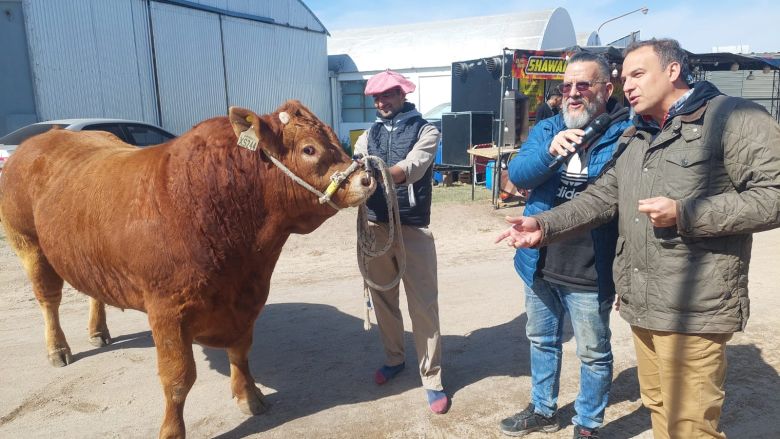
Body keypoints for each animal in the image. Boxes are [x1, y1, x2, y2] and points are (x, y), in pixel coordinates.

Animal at [0, 101, 374, 438]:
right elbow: (178, 379)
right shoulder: (168, 310)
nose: (367, 179)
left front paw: (250, 396)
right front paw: (171, 430)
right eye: (309, 149)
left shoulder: (248, 298)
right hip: (29, 244)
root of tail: (45, 136)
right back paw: (58, 349)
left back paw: (98, 331)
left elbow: (241, 351)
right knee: (49, 300)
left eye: (334, 139)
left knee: (95, 292)